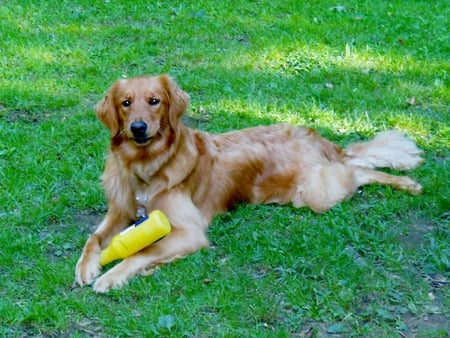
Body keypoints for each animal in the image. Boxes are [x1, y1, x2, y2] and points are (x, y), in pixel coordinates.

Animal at [75, 75, 424, 292]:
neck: (146, 167)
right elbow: (93, 239)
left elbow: (142, 252)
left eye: (154, 101)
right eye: (125, 103)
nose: (138, 127)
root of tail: (315, 137)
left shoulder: (189, 232)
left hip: (317, 192)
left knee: (358, 169)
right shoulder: (121, 211)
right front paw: (86, 267)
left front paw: (111, 276)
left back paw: (407, 183)